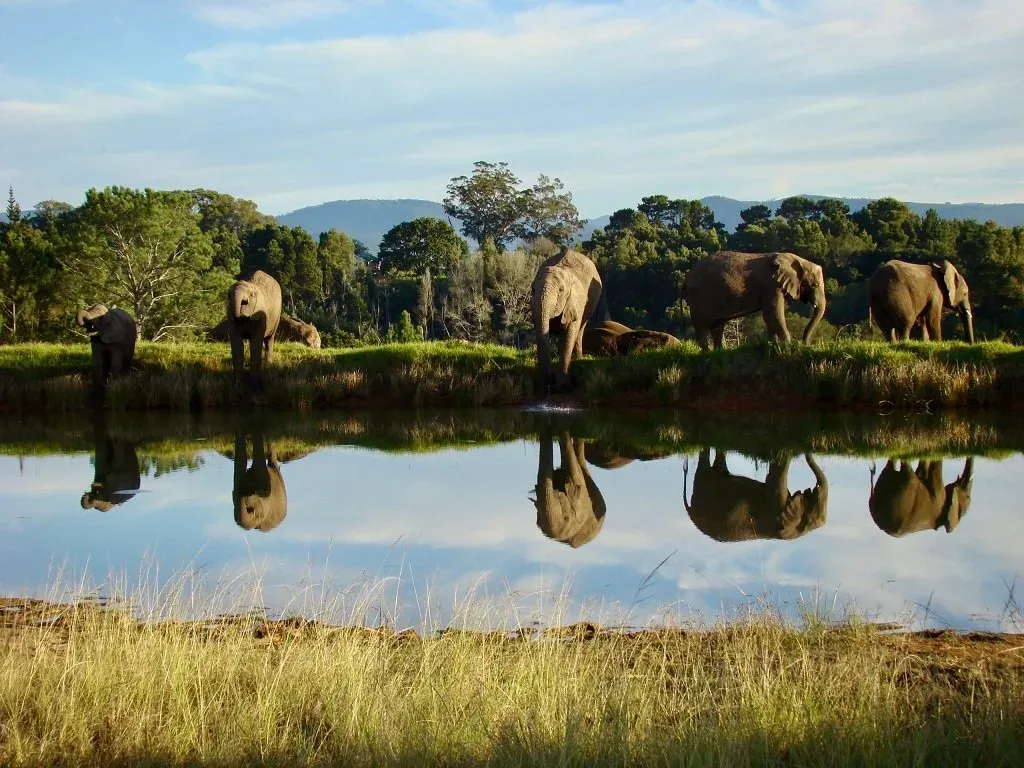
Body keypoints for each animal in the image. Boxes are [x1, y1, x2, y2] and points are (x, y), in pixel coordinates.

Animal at [531, 248, 603, 391]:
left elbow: (568, 335)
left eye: (561, 290)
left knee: (580, 328)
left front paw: (564, 386)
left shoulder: (575, 302)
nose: (550, 380)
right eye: (533, 289)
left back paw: (579, 359)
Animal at [683, 449, 828, 542]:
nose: (814, 488)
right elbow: (774, 477)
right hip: (702, 493)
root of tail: (690, 513)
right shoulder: (776, 503)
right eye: (812, 510)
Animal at [684, 251, 826, 351]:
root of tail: (687, 277)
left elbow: (771, 316)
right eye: (814, 285)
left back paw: (719, 352)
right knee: (702, 326)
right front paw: (788, 345)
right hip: (699, 298)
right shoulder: (771, 285)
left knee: (717, 326)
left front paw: (773, 345)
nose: (805, 344)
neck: (797, 260)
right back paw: (707, 353)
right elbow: (773, 313)